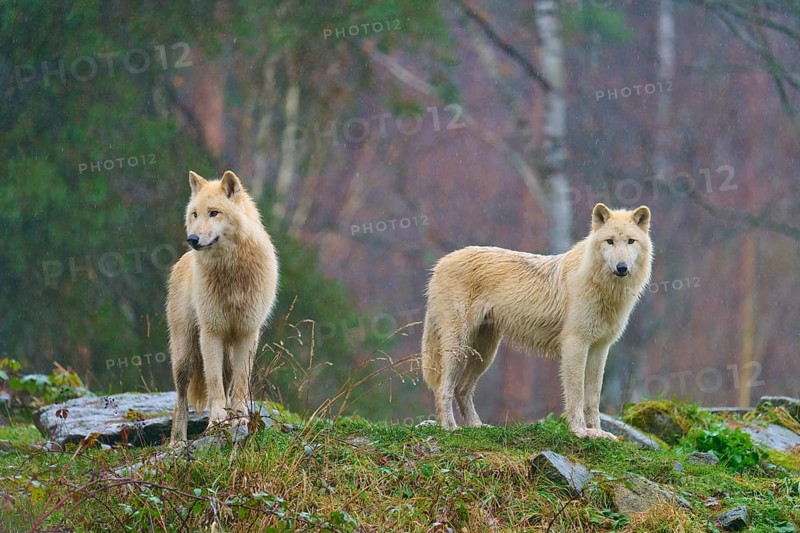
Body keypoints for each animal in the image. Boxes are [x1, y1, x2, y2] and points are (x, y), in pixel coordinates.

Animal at [168, 170, 278, 446]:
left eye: (214, 213)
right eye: (195, 214)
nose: (192, 239)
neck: (232, 271)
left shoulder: (248, 333)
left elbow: (239, 385)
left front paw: (239, 418)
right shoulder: (211, 332)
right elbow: (214, 385)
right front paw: (216, 422)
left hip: (226, 354)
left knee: (227, 381)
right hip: (185, 353)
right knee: (180, 398)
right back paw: (177, 441)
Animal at [421, 203, 652, 438]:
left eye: (631, 241)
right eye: (610, 241)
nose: (622, 267)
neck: (603, 288)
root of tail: (441, 263)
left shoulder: (600, 348)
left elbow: (593, 397)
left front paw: (597, 432)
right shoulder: (575, 344)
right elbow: (576, 394)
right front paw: (580, 431)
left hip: (485, 354)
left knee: (462, 389)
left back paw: (477, 426)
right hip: (459, 348)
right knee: (443, 389)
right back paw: (450, 428)